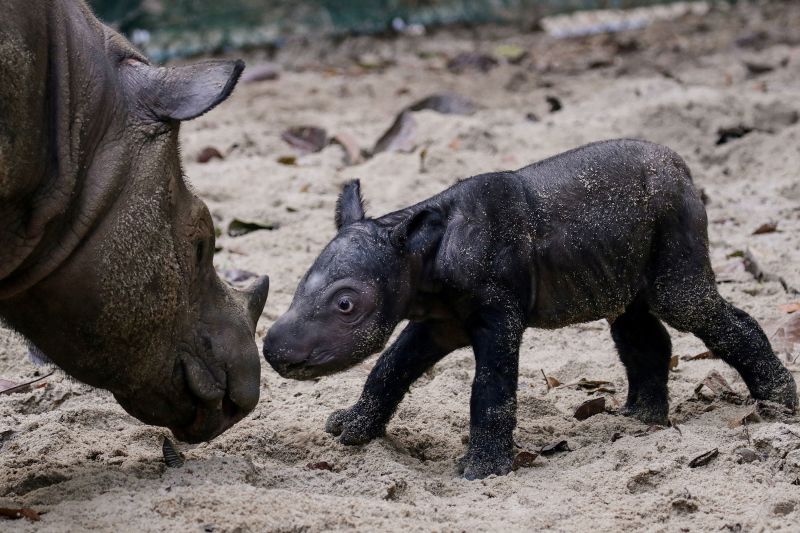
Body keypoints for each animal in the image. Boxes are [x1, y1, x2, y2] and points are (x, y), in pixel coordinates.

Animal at [264, 139, 800, 480]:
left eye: (346, 305)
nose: (274, 351)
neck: (418, 254)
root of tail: (684, 167)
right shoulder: (438, 319)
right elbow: (390, 368)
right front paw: (350, 431)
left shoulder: (497, 312)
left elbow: (490, 388)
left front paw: (481, 473)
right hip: (623, 249)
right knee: (633, 320)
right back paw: (638, 421)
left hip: (674, 217)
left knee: (686, 304)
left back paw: (778, 405)